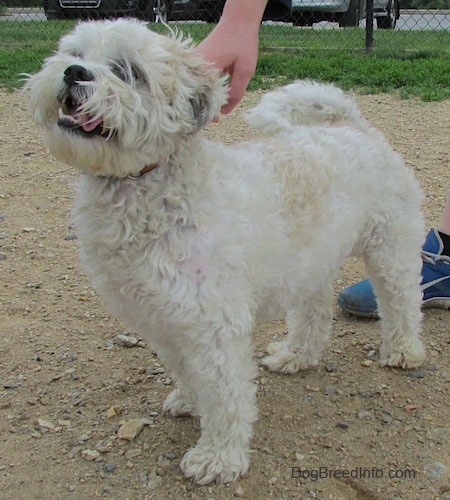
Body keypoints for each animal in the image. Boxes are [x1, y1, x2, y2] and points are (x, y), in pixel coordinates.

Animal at [24, 19, 426, 484]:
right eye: (74, 53)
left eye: (128, 71)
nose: (73, 72)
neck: (148, 194)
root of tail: (352, 124)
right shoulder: (161, 318)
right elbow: (185, 371)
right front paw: (189, 401)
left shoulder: (212, 323)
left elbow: (224, 395)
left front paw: (217, 457)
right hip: (309, 263)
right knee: (314, 312)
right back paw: (296, 355)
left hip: (390, 248)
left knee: (401, 301)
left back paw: (403, 350)